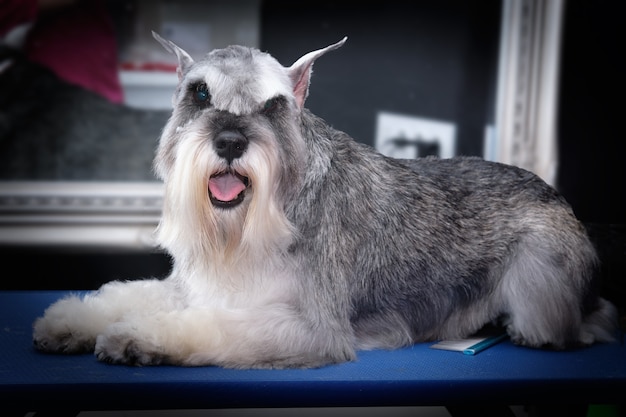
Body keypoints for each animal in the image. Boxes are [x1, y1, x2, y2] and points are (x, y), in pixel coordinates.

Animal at [34, 32, 616, 366]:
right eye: (199, 93)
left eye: (274, 105)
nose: (230, 142)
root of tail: (553, 192)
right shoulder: (194, 288)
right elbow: (130, 294)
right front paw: (70, 323)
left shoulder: (308, 328)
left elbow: (210, 327)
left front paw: (137, 338)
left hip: (543, 294)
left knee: (585, 322)